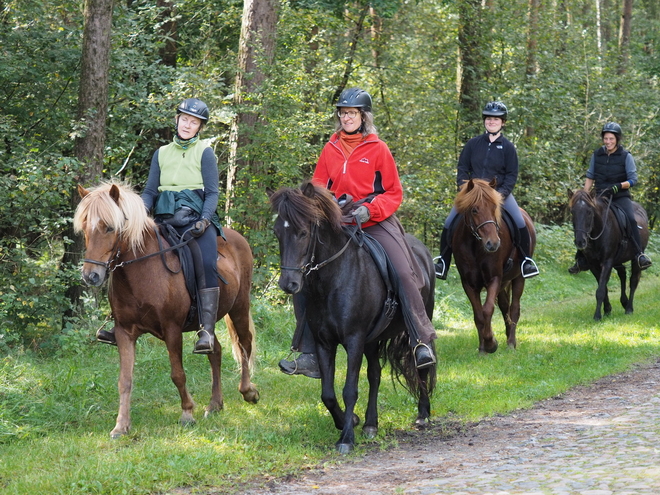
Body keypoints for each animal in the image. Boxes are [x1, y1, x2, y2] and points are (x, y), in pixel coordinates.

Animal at [73, 184, 258, 440]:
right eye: (84, 228)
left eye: (109, 227)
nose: (91, 276)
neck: (142, 271)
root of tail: (237, 237)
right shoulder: (124, 332)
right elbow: (125, 380)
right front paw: (121, 426)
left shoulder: (172, 330)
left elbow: (177, 374)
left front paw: (187, 413)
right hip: (208, 323)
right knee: (215, 350)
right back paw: (214, 405)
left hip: (239, 306)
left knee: (244, 344)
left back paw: (249, 391)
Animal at [266, 181, 436, 454]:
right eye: (277, 232)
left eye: (303, 233)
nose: (289, 284)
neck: (334, 278)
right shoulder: (325, 342)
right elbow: (327, 393)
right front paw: (350, 421)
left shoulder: (354, 339)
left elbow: (349, 390)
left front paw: (346, 438)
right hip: (372, 340)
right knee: (375, 374)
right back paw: (371, 424)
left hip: (419, 321)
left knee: (422, 363)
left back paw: (422, 414)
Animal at [448, 180, 536, 354]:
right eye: (474, 209)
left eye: (495, 207)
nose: (493, 243)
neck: (475, 245)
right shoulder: (469, 283)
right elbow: (478, 315)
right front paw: (483, 348)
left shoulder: (494, 278)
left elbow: (487, 309)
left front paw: (491, 343)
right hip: (504, 283)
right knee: (504, 307)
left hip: (519, 278)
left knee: (514, 308)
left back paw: (511, 343)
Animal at [568, 190, 648, 322]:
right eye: (572, 212)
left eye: (589, 212)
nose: (580, 241)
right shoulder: (593, 265)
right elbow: (603, 288)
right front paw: (607, 310)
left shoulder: (607, 262)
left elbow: (600, 290)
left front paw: (597, 316)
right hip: (618, 260)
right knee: (622, 274)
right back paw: (624, 302)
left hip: (635, 258)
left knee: (633, 281)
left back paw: (629, 308)